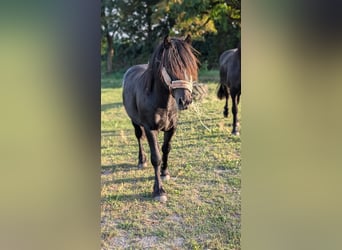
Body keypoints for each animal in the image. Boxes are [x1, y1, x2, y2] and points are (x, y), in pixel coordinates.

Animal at [123, 35, 199, 202]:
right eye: (170, 67)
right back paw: (141, 161)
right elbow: (156, 157)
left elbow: (166, 149)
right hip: (135, 121)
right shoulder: (150, 129)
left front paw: (165, 173)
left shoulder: (172, 127)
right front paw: (159, 191)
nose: (185, 101)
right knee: (139, 137)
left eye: (190, 67)